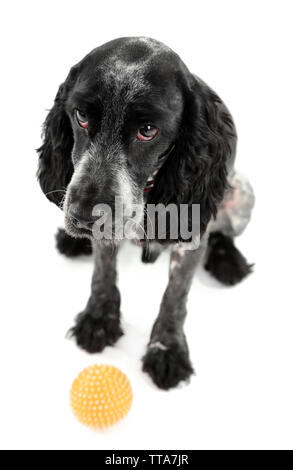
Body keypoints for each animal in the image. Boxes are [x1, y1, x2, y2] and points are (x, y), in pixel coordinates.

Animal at [37, 36, 253, 390]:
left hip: (242, 193)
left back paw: (228, 261)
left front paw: (167, 350)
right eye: (81, 115)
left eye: (148, 130)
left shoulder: (191, 236)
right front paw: (99, 318)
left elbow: (175, 296)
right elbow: (103, 272)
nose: (83, 216)